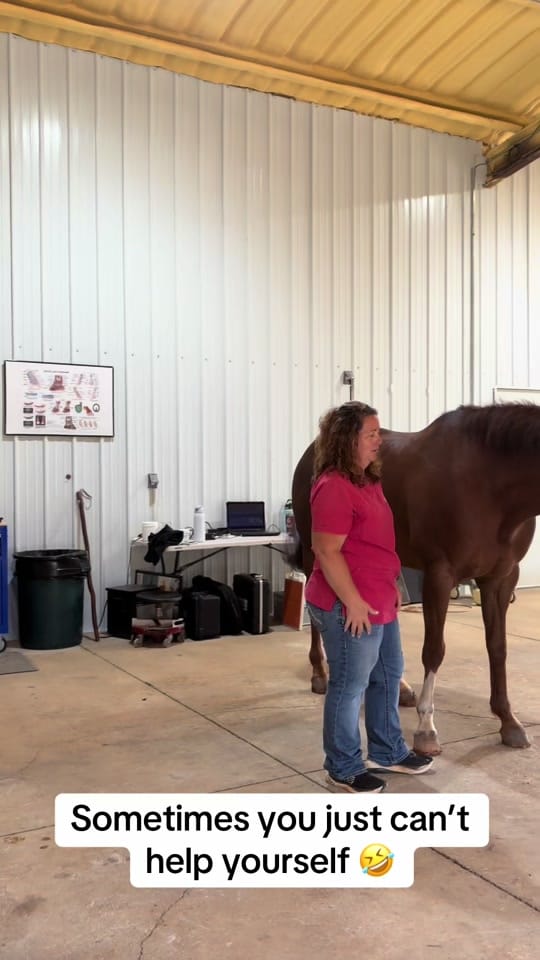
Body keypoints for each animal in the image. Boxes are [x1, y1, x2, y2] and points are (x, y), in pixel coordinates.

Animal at [291, 402, 538, 756]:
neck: (488, 483)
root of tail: (313, 450)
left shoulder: (501, 579)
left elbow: (498, 647)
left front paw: (508, 721)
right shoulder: (439, 574)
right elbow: (434, 650)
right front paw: (426, 729)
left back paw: (402, 688)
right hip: (316, 556)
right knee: (317, 611)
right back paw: (319, 674)